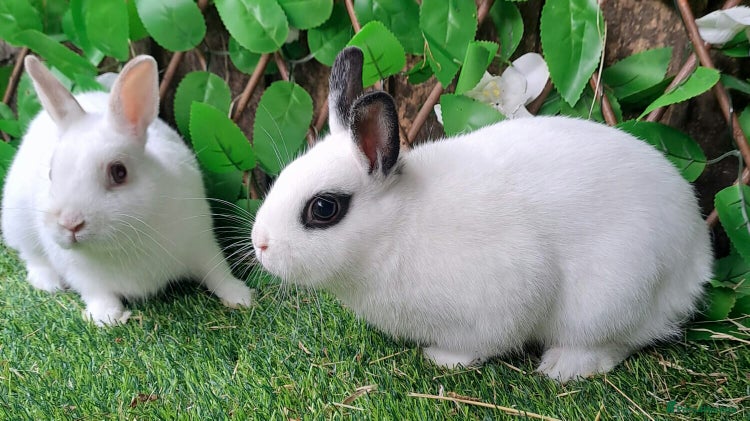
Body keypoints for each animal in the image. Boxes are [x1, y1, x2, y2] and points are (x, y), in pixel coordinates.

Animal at [1, 55, 253, 326]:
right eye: (51, 174)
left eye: (119, 172)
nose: (70, 224)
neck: (122, 240)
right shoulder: (81, 274)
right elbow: (97, 293)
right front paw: (107, 317)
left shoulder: (201, 242)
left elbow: (218, 271)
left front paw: (240, 297)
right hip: (18, 224)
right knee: (32, 256)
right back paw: (48, 283)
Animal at [250, 47, 712, 382]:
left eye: (323, 208)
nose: (260, 245)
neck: (396, 228)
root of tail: (695, 257)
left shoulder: (506, 293)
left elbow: (484, 341)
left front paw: (442, 358)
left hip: (612, 297)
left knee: (616, 343)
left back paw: (562, 367)